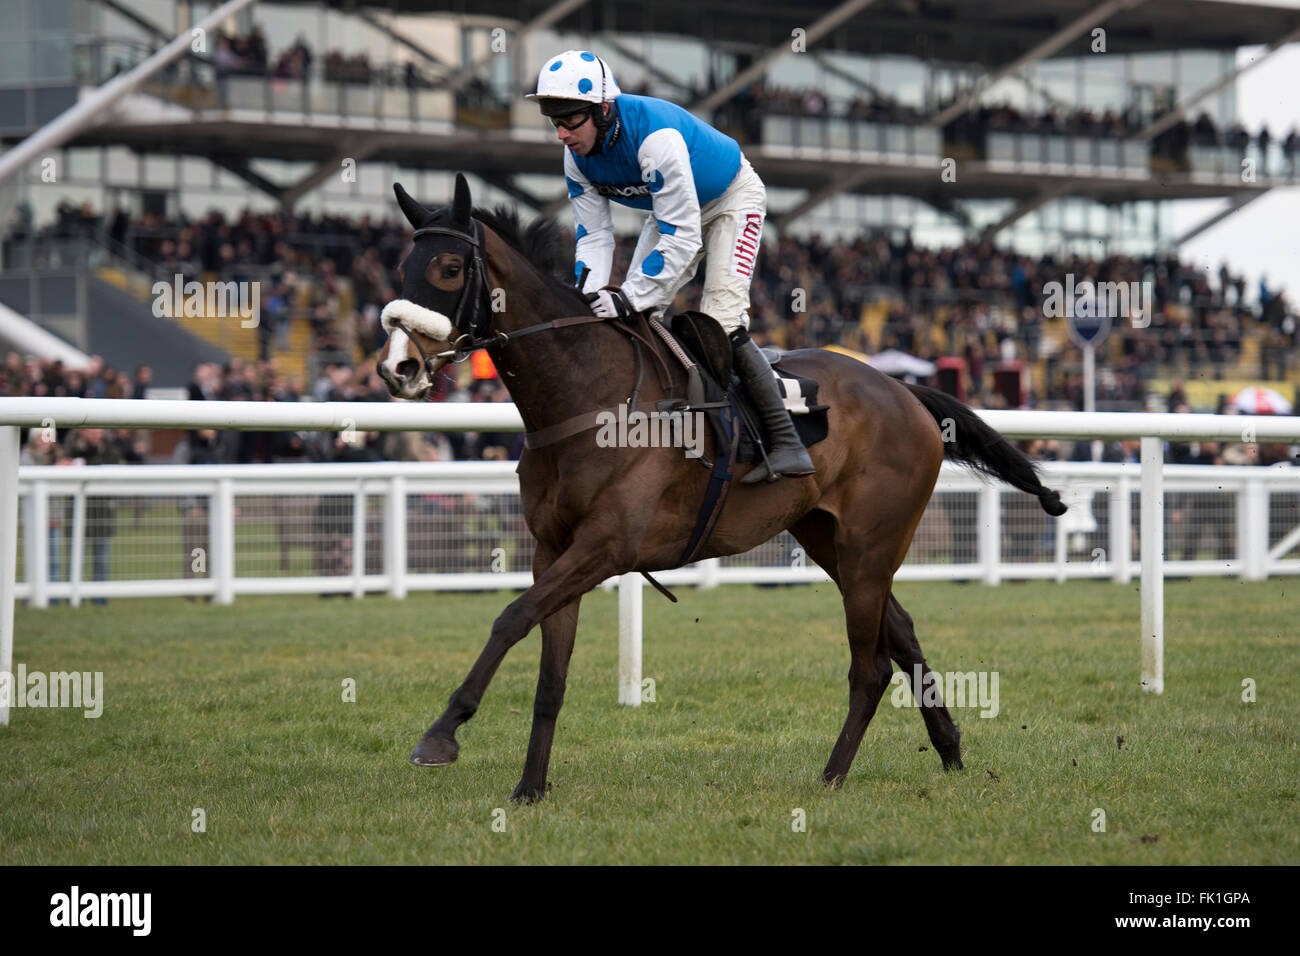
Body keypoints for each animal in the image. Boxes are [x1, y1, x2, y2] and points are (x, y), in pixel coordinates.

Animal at [377, 174, 1066, 801]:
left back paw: (832, 776)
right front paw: (530, 788)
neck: (585, 395)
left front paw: (442, 733)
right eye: (401, 266)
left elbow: (510, 617)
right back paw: (948, 749)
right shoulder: (554, 549)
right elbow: (550, 673)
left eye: (447, 268)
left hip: (873, 543)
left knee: (869, 666)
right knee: (902, 633)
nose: (397, 367)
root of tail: (905, 391)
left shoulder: (606, 546)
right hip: (830, 539)